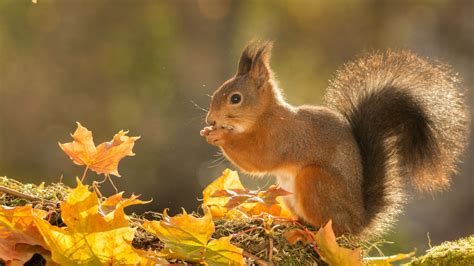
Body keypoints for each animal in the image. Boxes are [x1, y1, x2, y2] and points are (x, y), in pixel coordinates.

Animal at [198, 40, 468, 238]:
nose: (210, 119)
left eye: (235, 98)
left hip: (315, 182)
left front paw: (219, 136)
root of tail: (358, 222)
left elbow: (258, 159)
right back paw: (283, 220)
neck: (265, 115)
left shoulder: (282, 137)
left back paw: (306, 234)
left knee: (329, 229)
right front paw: (208, 132)